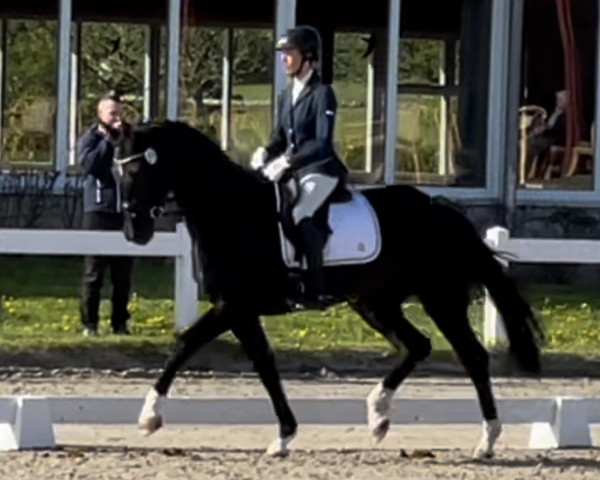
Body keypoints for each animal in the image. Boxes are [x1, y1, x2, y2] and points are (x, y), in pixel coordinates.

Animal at [111, 119, 544, 458]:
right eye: (117, 173)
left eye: (137, 171)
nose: (134, 233)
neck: (231, 211)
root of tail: (441, 209)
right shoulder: (237, 309)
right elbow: (262, 364)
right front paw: (283, 437)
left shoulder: (233, 305)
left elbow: (188, 345)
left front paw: (149, 417)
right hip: (375, 303)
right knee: (417, 345)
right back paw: (378, 415)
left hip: (441, 300)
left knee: (473, 357)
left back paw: (487, 441)